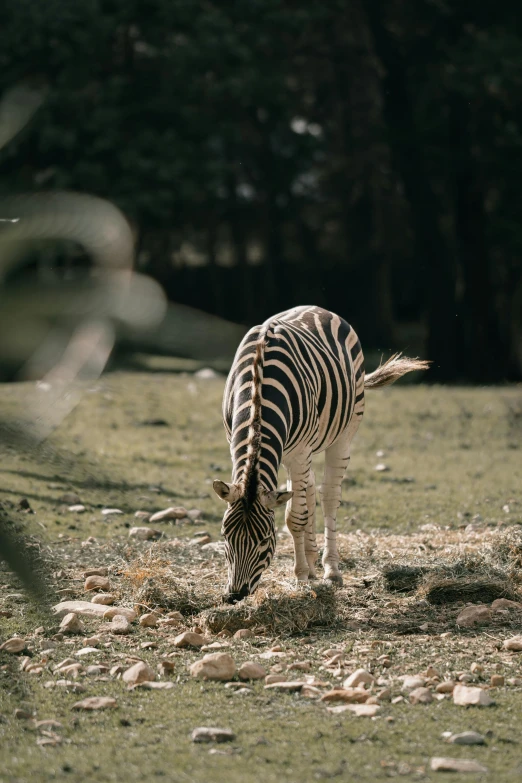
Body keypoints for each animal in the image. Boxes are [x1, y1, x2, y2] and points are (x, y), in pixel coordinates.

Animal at [211, 308, 426, 608]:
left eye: (264, 540)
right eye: (225, 536)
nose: (234, 596)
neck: (258, 388)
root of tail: (317, 309)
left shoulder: (300, 452)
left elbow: (296, 517)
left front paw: (301, 577)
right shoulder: (253, 444)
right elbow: (296, 510)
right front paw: (305, 570)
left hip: (343, 433)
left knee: (328, 496)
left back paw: (330, 570)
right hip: (297, 451)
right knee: (308, 489)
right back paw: (313, 561)